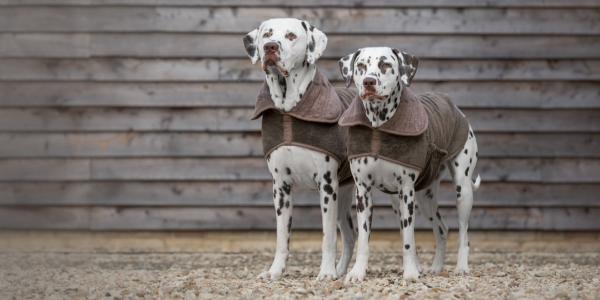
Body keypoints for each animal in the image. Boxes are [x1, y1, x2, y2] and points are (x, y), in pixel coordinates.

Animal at [243, 18, 356, 282]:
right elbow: (282, 237)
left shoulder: (327, 185)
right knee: (350, 235)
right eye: (267, 34)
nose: (271, 47)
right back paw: (340, 271)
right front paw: (275, 271)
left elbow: (327, 237)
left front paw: (325, 272)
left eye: (291, 36)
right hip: (344, 195)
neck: (290, 109)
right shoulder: (281, 187)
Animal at [338, 47, 482, 282]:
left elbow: (408, 239)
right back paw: (436, 267)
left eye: (385, 64)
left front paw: (411, 272)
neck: (380, 126)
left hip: (463, 190)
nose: (368, 81)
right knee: (442, 229)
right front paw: (357, 272)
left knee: (463, 232)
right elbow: (364, 240)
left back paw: (461, 267)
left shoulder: (406, 192)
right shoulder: (363, 192)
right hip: (423, 197)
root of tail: (454, 107)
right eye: (360, 66)